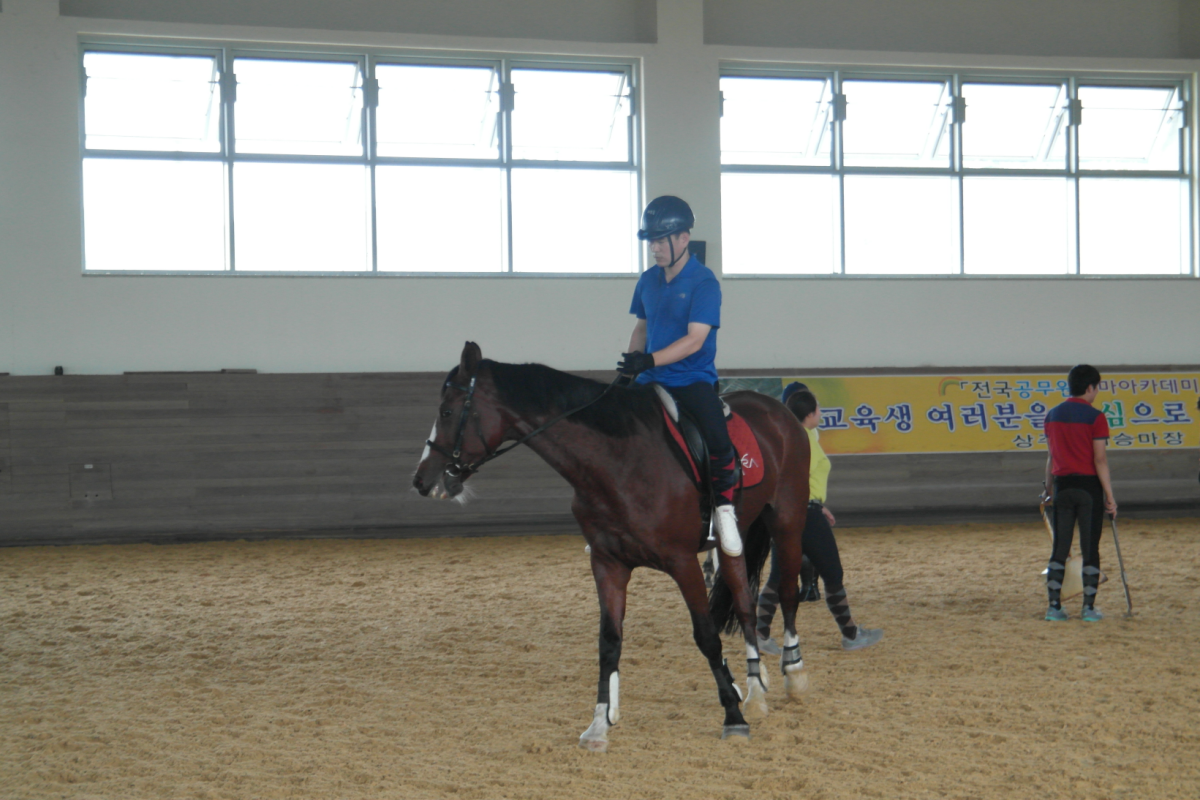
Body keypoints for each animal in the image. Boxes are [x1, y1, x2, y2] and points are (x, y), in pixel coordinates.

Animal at [412, 342, 811, 751]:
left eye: (447, 411)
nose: (422, 480)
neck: (618, 462)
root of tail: (777, 409)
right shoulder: (609, 564)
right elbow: (609, 642)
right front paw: (599, 724)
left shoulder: (682, 561)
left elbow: (706, 636)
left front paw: (732, 715)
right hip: (735, 540)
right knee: (745, 605)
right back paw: (757, 690)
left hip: (787, 521)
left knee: (788, 592)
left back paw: (793, 673)